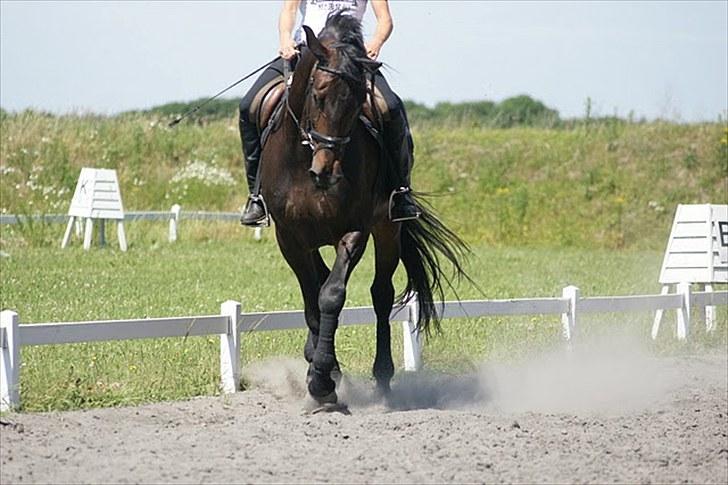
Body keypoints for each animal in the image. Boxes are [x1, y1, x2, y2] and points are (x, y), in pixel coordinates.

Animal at [258, 14, 470, 404]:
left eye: (359, 102)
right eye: (318, 95)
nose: (327, 171)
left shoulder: (355, 229)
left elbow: (331, 295)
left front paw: (321, 382)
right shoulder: (290, 237)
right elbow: (312, 300)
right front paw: (322, 371)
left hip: (388, 229)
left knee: (381, 294)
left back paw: (382, 376)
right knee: (323, 280)